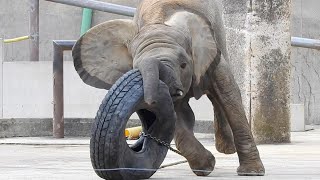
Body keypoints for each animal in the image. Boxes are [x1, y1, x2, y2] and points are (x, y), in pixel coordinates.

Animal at [72, 0, 264, 177]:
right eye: (135, 66)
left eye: (183, 65)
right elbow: (179, 114)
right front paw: (205, 167)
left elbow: (229, 97)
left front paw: (252, 172)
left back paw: (227, 150)